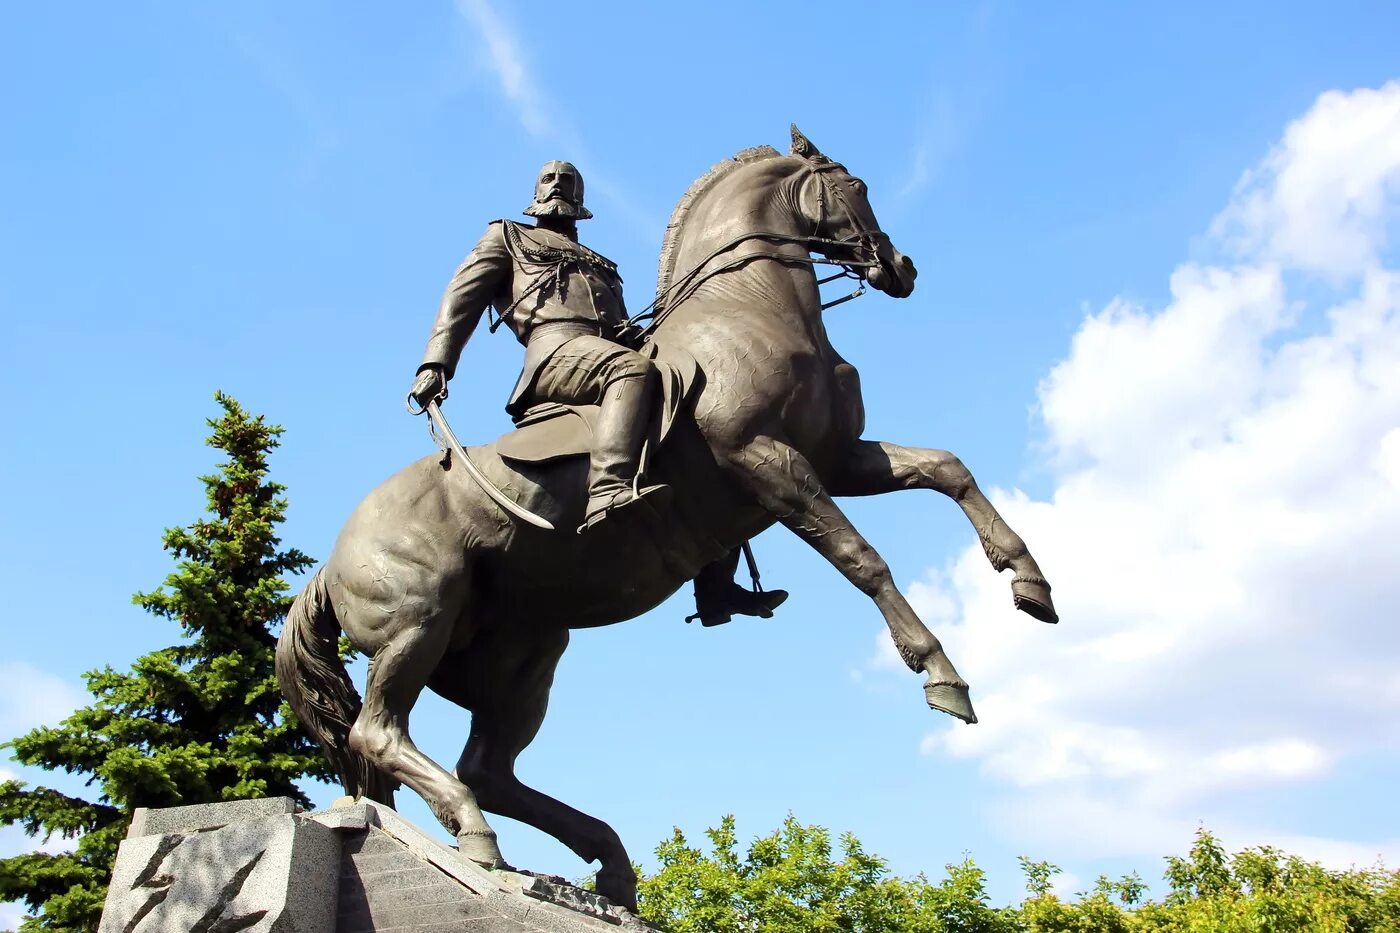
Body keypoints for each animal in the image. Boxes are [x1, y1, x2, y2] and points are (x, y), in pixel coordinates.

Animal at [278, 123, 1052, 907]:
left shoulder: (839, 459)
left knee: (488, 768)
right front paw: (942, 674)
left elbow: (948, 469)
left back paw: (607, 863)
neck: (746, 307)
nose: (901, 265)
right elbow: (863, 560)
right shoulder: (769, 463)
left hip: (524, 656)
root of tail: (330, 563)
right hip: (419, 623)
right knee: (382, 735)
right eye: (855, 184)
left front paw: (1029, 583)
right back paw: (479, 835)